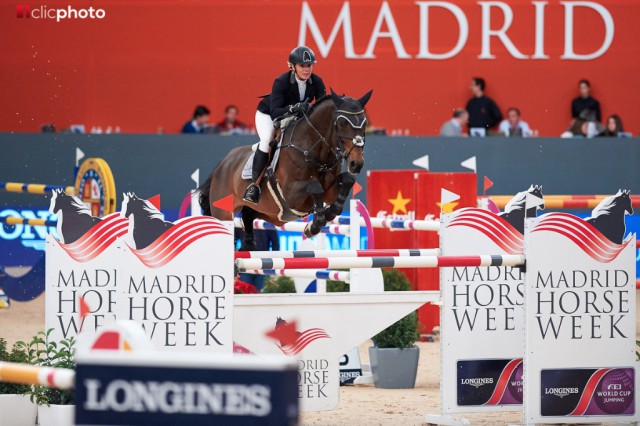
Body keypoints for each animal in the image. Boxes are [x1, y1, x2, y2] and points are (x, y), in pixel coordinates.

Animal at [198, 88, 372, 251]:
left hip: (265, 212)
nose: (356, 163)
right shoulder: (291, 194)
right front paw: (315, 225)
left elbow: (348, 181)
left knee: (248, 218)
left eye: (364, 124)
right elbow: (314, 187)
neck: (313, 151)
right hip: (223, 211)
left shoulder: (329, 192)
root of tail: (222, 164)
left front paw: (326, 215)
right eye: (342, 123)